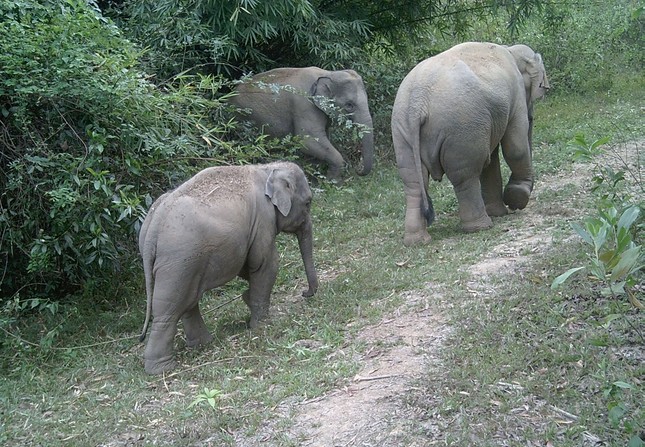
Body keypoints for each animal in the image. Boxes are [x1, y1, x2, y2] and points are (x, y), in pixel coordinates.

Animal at [137, 161, 318, 374]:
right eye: (308, 203)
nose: (305, 293)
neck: (267, 168)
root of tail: (153, 226)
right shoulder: (263, 219)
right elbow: (265, 263)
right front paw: (261, 325)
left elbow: (247, 265)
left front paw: (247, 299)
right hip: (178, 260)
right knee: (168, 311)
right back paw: (162, 369)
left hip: (185, 263)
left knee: (188, 301)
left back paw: (203, 344)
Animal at [231, 67, 374, 182]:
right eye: (349, 105)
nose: (358, 169)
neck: (327, 73)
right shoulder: (304, 105)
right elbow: (308, 141)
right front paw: (331, 182)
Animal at [390, 42, 544, 247]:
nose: (532, 116)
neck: (509, 49)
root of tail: (418, 102)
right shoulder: (516, 94)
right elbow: (515, 147)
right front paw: (516, 199)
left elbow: (491, 160)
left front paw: (501, 211)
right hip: (461, 129)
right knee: (465, 176)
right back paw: (480, 226)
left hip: (402, 131)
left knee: (413, 181)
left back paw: (417, 241)